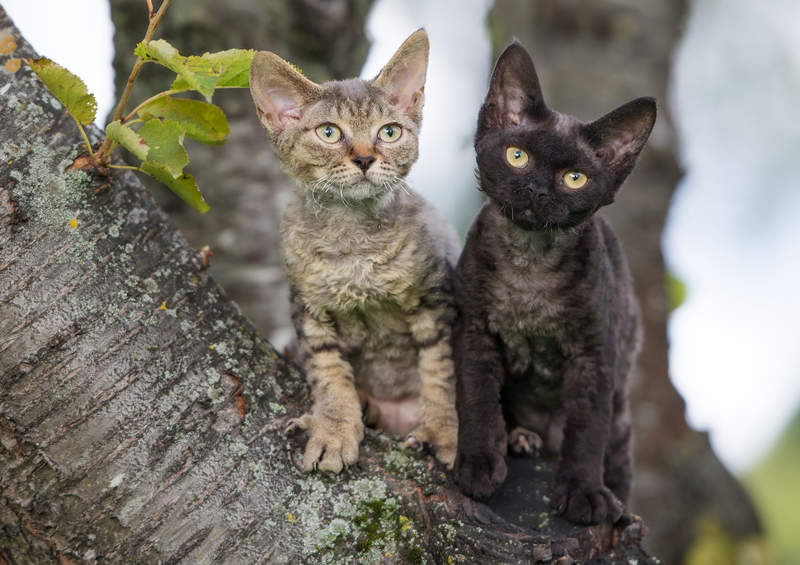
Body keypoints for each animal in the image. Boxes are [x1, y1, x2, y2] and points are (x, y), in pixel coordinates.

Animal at [250, 29, 462, 472]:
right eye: (329, 133)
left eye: (389, 132)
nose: (365, 158)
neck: (354, 246)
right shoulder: (308, 309)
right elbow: (328, 373)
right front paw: (333, 430)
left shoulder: (437, 297)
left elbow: (442, 372)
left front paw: (444, 433)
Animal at [456, 40, 656, 524]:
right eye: (518, 156)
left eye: (574, 179)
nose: (538, 191)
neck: (529, 270)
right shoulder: (473, 331)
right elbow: (477, 397)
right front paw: (478, 464)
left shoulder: (594, 355)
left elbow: (586, 428)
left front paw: (584, 492)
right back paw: (520, 438)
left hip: (623, 420)